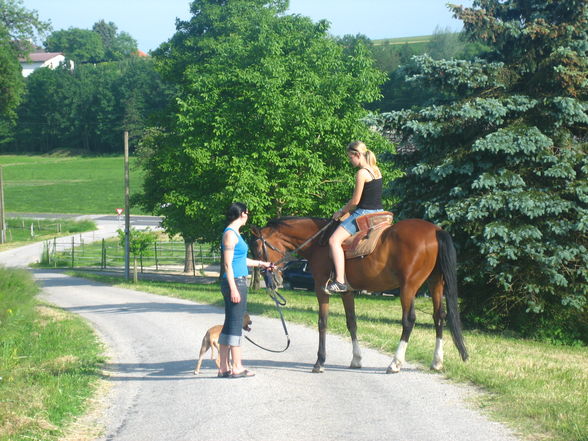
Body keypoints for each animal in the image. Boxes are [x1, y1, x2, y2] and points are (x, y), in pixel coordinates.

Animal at [250, 216, 470, 372]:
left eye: (257, 249)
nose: (272, 280)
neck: (319, 243)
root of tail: (435, 230)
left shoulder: (321, 288)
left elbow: (322, 322)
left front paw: (320, 362)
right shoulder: (347, 291)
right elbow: (351, 322)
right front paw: (356, 359)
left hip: (409, 287)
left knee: (409, 321)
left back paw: (395, 362)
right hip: (436, 283)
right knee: (439, 317)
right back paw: (437, 361)